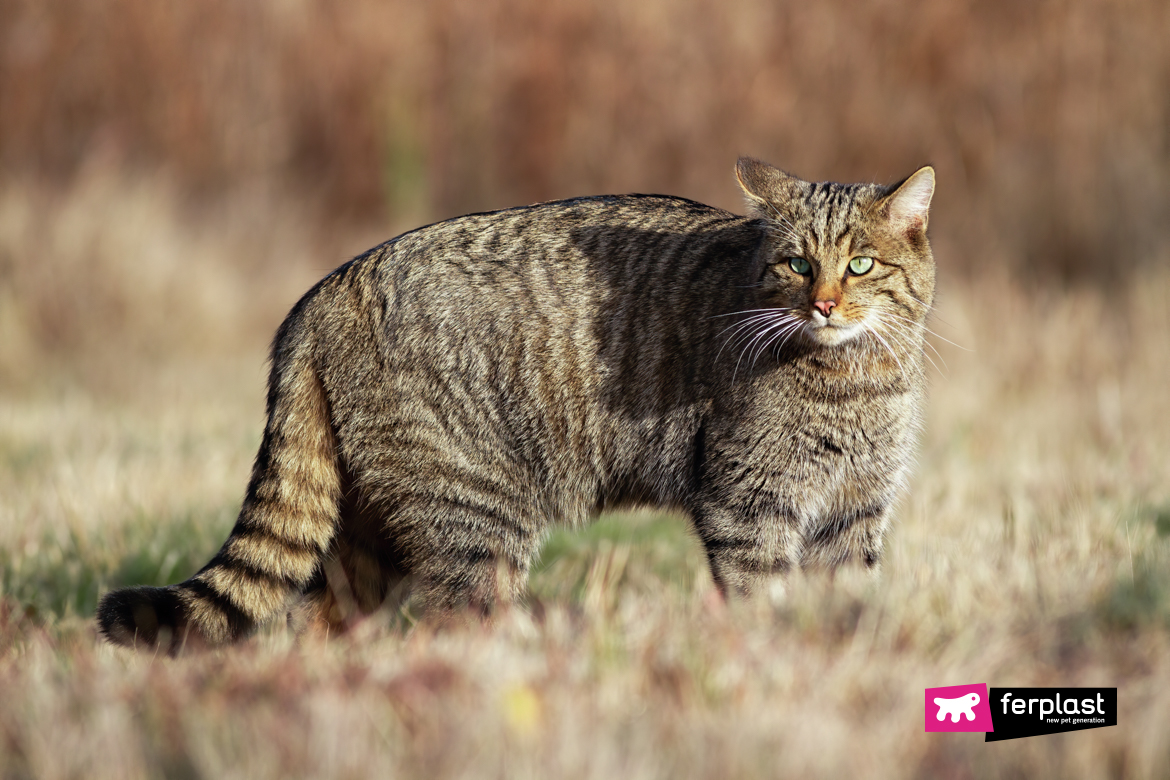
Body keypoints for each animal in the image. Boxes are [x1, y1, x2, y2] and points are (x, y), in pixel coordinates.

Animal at [95, 159, 935, 654]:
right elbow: (761, 599)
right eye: (795, 263)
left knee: (316, 615)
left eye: (861, 265)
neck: (852, 378)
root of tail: (324, 290)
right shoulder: (748, 505)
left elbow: (845, 600)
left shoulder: (854, 512)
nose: (824, 303)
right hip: (475, 516)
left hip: (374, 529)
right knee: (458, 620)